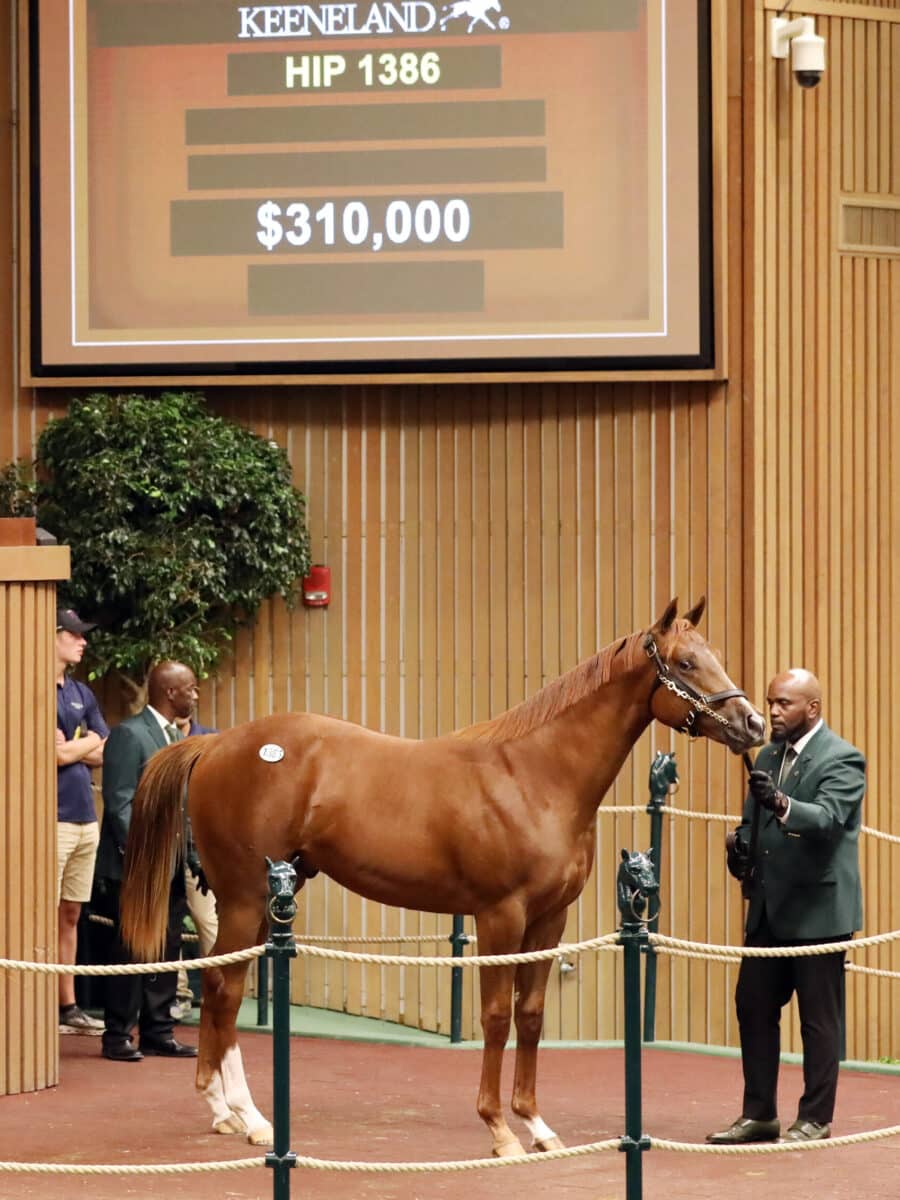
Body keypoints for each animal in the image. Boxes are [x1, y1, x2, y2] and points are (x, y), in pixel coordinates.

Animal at [121, 597, 768, 1152]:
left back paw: (226, 1111)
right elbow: (496, 1016)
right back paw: (249, 1117)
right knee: (224, 988)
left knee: (221, 985)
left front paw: (537, 1125)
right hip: (245, 897)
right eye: (686, 662)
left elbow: (531, 1016)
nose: (754, 724)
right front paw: (499, 1130)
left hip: (271, 896)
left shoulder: (550, 919)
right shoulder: (499, 915)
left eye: (711, 653)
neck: (536, 776)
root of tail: (215, 746)